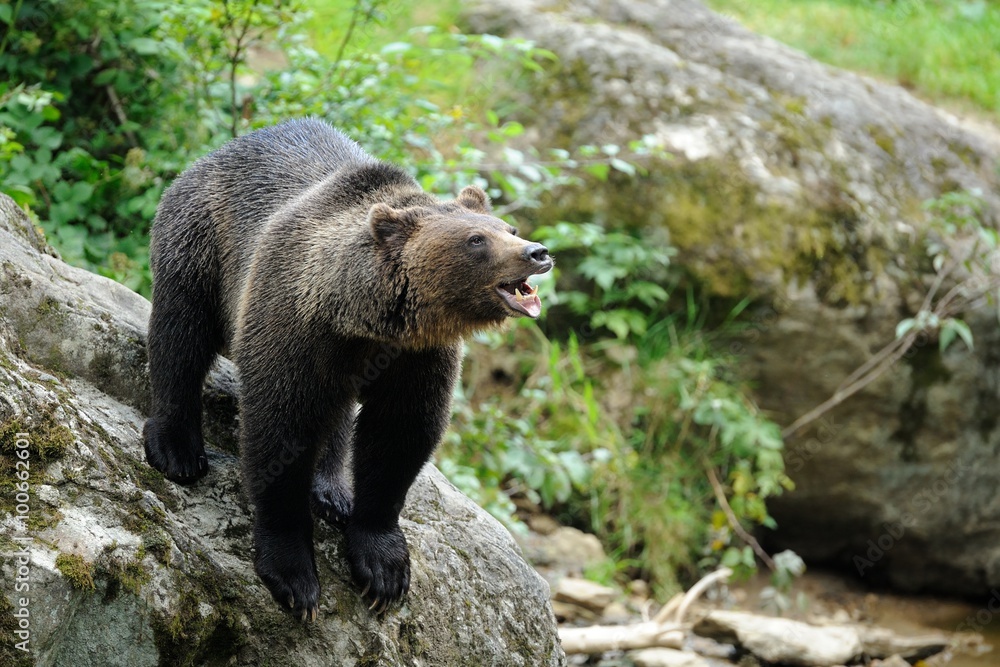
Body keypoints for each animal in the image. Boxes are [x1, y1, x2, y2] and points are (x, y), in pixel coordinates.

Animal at [143, 118, 553, 620]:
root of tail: (211, 155)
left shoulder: (416, 356)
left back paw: (333, 492)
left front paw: (383, 569)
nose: (537, 251)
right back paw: (177, 448)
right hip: (200, 243)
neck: (361, 318)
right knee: (180, 335)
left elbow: (399, 435)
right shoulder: (292, 322)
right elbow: (280, 429)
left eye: (508, 226)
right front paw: (294, 576)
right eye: (476, 239)